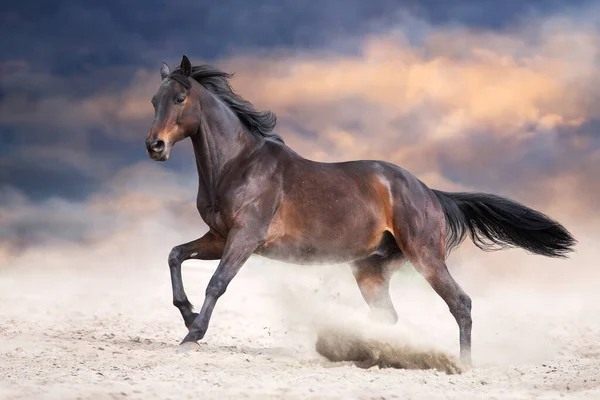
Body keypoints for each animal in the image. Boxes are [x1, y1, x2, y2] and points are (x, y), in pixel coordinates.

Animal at [143, 55, 576, 366]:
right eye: (153, 100)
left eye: (180, 99)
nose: (155, 146)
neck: (239, 164)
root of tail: (429, 193)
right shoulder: (219, 236)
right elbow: (175, 255)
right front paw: (186, 314)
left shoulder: (245, 238)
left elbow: (217, 282)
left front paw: (192, 335)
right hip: (371, 270)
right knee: (390, 317)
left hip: (425, 257)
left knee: (461, 304)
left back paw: (464, 364)